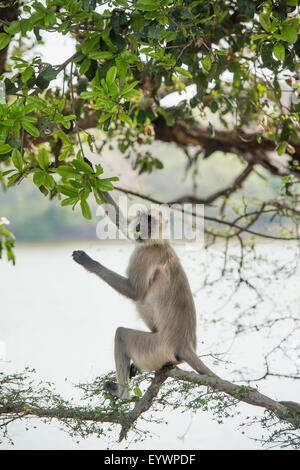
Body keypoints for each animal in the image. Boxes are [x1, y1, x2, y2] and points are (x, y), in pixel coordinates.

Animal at [72, 211, 218, 398]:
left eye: (148, 224)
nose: (140, 229)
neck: (158, 242)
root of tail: (184, 343)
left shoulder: (145, 254)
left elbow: (134, 292)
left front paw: (89, 263)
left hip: (155, 348)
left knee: (121, 335)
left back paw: (122, 395)